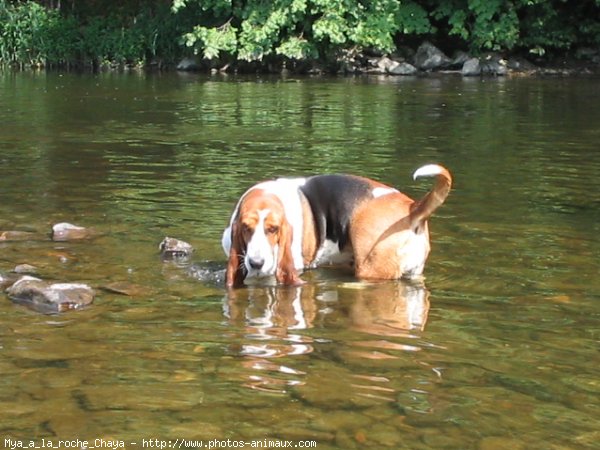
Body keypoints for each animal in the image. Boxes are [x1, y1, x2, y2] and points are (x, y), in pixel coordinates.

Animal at [223, 165, 452, 288]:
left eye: (274, 229)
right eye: (246, 228)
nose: (256, 263)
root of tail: (412, 208)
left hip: (371, 269)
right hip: (414, 271)